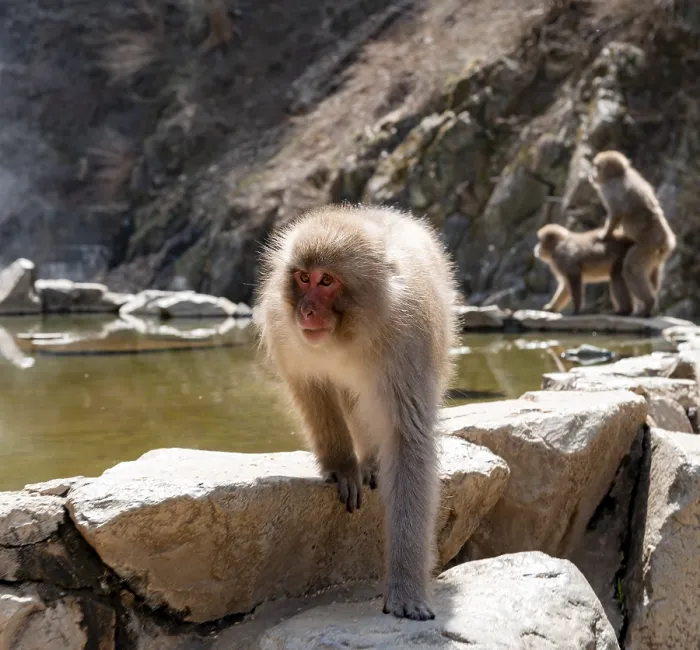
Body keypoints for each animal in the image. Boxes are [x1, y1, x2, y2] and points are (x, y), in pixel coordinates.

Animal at [254, 204, 458, 621]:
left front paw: (406, 587)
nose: (306, 310)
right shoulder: (285, 329)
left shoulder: (409, 340)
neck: (347, 337)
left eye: (326, 281)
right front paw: (343, 466)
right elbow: (311, 387)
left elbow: (407, 437)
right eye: (303, 277)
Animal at [589, 150, 677, 317]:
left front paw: (604, 235)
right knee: (653, 275)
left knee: (631, 269)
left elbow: (616, 214)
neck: (619, 174)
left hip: (646, 249)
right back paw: (652, 306)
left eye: (596, 167)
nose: (592, 174)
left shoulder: (609, 190)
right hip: (658, 256)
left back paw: (648, 304)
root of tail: (666, 241)